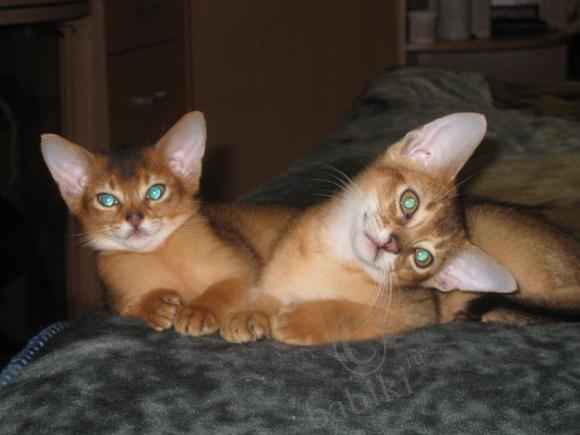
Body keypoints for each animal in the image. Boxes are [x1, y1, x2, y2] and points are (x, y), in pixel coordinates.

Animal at [41, 111, 296, 334]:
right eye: (106, 200)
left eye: (155, 192)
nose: (134, 219)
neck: (160, 254)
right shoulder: (116, 298)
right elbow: (130, 306)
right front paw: (154, 304)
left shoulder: (244, 265)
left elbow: (226, 287)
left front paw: (198, 310)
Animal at [220, 112, 580, 345]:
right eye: (409, 202)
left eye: (422, 257)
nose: (391, 245)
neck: (330, 257)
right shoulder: (275, 276)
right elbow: (264, 292)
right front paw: (249, 313)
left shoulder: (415, 314)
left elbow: (351, 314)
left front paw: (297, 319)